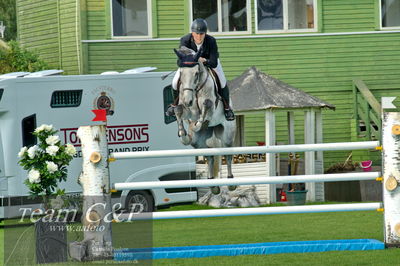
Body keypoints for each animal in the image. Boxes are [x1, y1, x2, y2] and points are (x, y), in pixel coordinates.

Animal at [173, 46, 236, 194]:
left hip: (227, 135)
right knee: (209, 156)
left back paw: (231, 182)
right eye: (181, 73)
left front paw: (195, 126)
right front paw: (183, 133)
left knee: (228, 154)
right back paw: (213, 185)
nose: (188, 101)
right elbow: (178, 110)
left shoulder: (210, 109)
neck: (195, 90)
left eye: (196, 73)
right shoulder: (187, 110)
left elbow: (206, 107)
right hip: (199, 142)